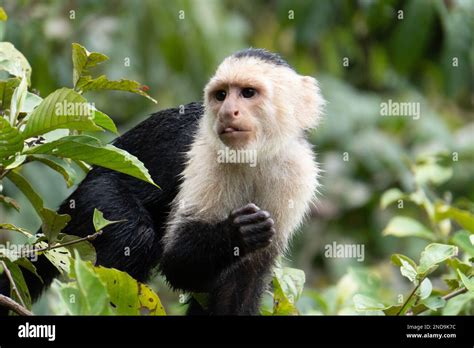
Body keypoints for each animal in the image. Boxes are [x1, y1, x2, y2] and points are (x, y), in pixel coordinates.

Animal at [0, 47, 324, 316]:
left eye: (247, 93)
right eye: (221, 95)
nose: (226, 112)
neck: (254, 154)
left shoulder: (297, 172)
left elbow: (243, 280)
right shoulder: (206, 157)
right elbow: (177, 264)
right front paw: (238, 232)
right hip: (93, 197)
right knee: (134, 234)